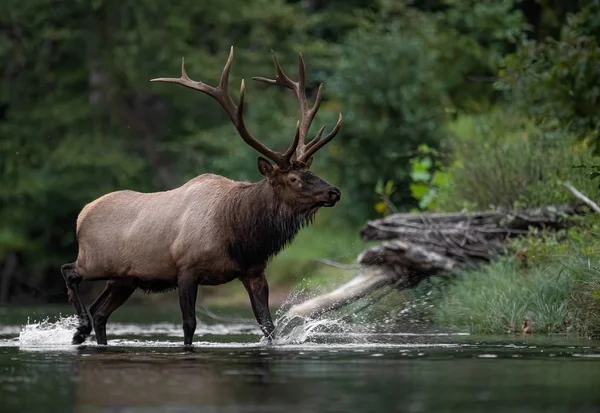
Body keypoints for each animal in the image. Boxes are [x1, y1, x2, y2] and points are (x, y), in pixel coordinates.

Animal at [61, 46, 344, 346]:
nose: (334, 191)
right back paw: (80, 327)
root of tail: (81, 215)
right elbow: (189, 324)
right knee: (69, 271)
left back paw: (86, 332)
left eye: (311, 172)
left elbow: (268, 325)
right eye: (293, 178)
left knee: (100, 312)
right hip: (95, 261)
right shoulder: (186, 269)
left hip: (124, 279)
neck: (240, 234)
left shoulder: (254, 271)